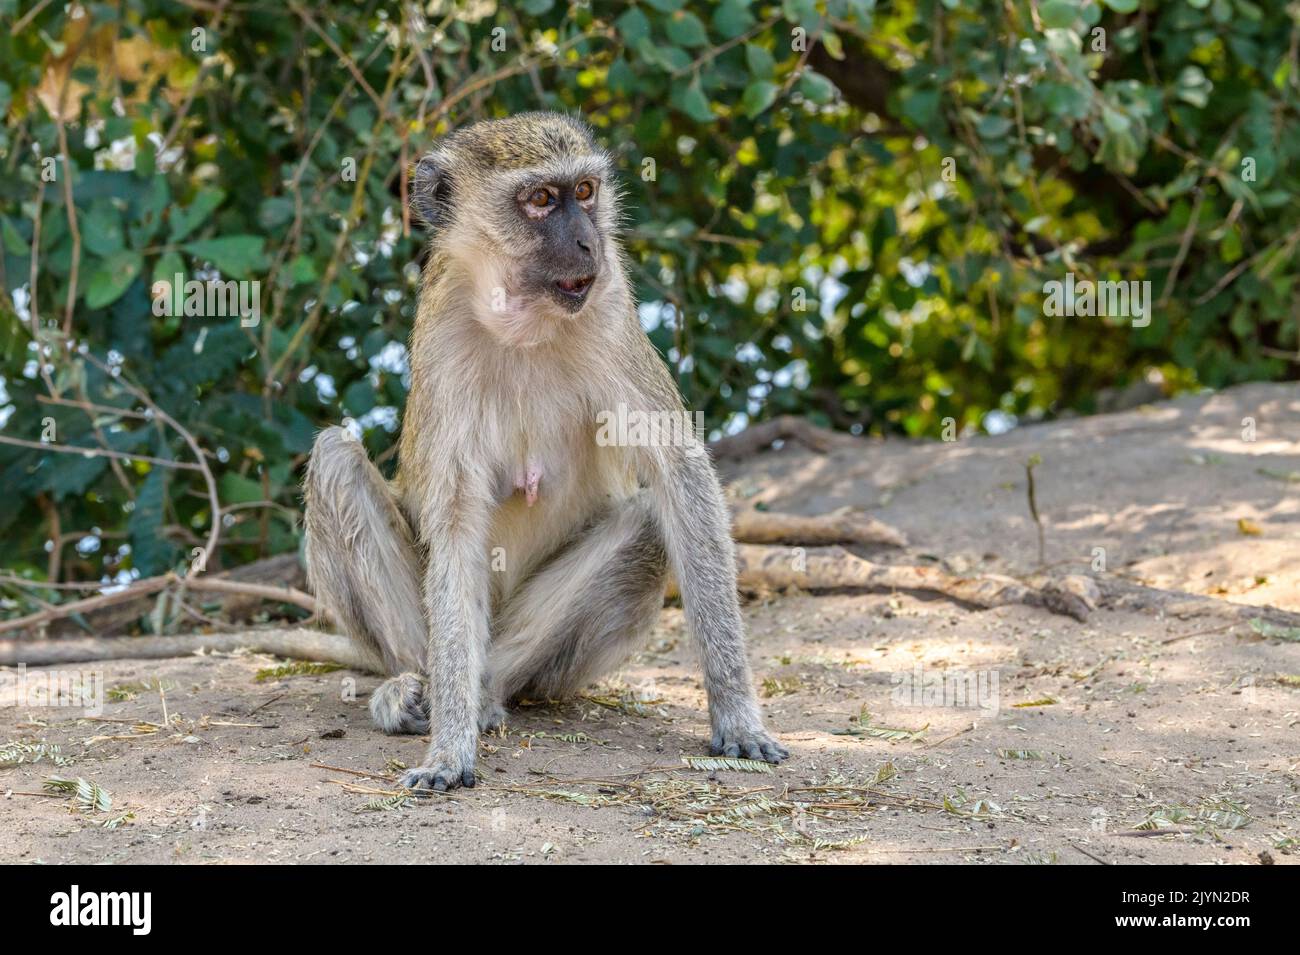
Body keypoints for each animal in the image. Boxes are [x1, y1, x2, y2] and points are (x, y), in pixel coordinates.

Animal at [303, 111, 787, 792]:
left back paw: (485, 692)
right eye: (540, 200)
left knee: (645, 522)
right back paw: (414, 690)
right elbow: (456, 518)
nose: (588, 243)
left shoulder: (610, 306)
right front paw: (449, 747)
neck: (522, 321)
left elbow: (678, 469)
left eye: (584, 192)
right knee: (336, 459)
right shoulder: (445, 330)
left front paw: (737, 712)